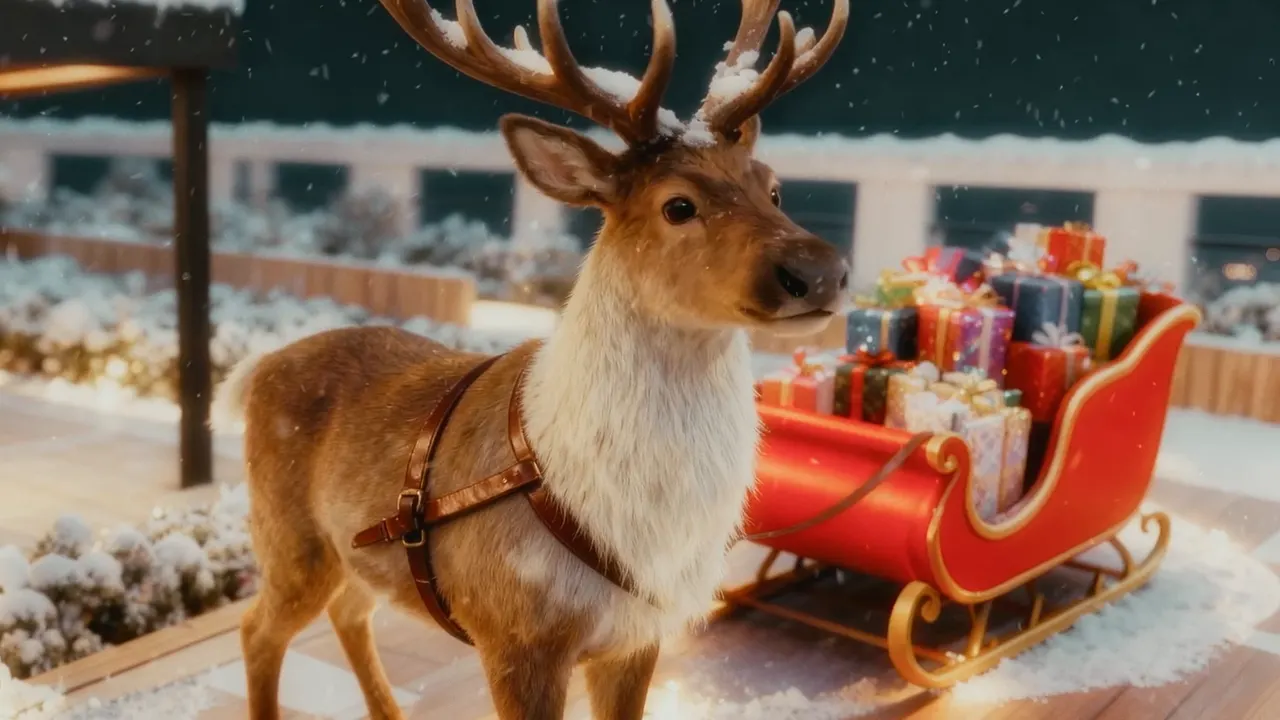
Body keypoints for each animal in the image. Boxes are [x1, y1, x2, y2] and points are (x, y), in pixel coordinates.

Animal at [211, 0, 850, 718]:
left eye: (773, 188)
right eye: (678, 205)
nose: (818, 272)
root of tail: (257, 369)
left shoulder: (638, 634)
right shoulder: (516, 634)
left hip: (358, 555)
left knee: (351, 612)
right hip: (290, 536)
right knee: (258, 629)